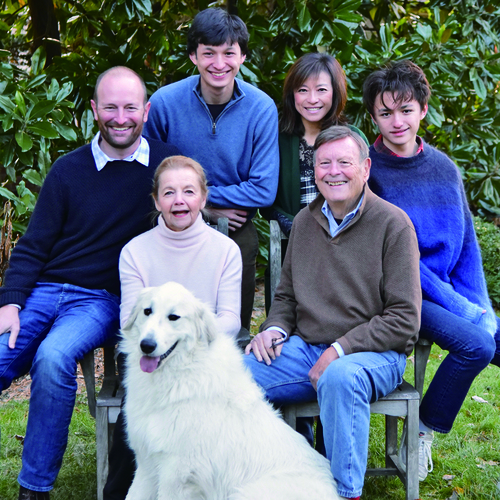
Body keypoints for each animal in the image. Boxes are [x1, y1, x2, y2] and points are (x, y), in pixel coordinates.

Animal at [121, 281, 339, 500]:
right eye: (147, 311)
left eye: (173, 317)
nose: (146, 345)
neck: (181, 373)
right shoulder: (146, 465)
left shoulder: (176, 476)